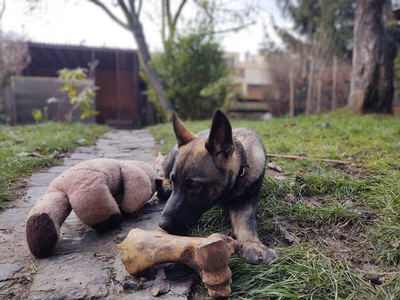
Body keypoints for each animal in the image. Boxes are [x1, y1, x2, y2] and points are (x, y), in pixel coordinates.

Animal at [157, 109, 278, 264]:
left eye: (193, 186)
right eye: (174, 182)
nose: (162, 224)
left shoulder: (244, 200)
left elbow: (245, 223)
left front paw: (254, 245)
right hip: (170, 158)